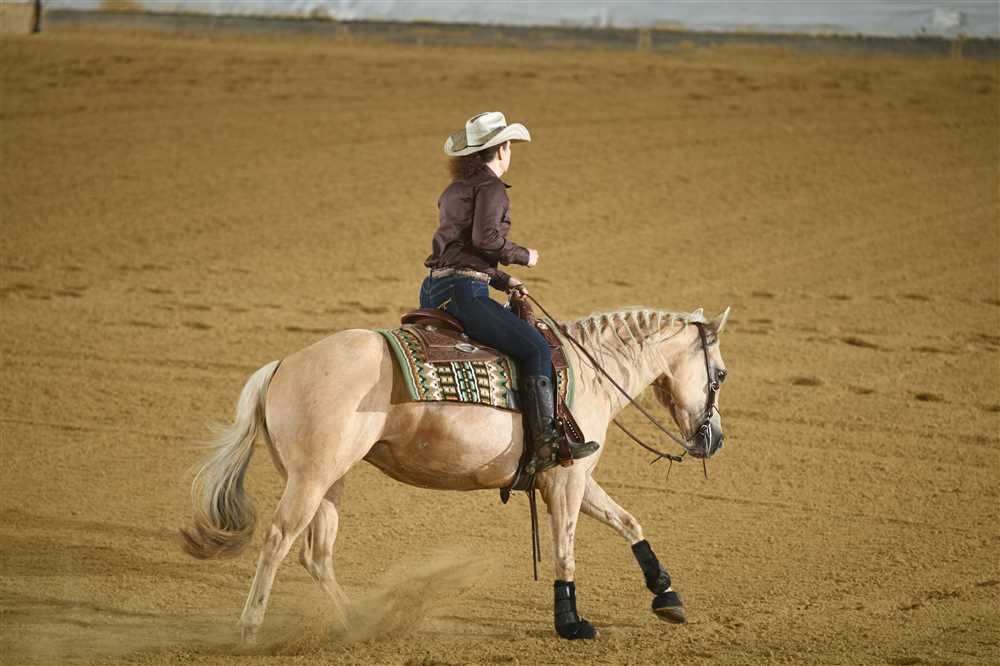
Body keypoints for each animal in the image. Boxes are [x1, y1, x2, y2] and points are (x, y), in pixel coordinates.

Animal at [179, 304, 730, 643]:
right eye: (721, 374)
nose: (715, 440)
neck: (588, 372)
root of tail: (282, 365)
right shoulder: (567, 483)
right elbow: (565, 550)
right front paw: (571, 622)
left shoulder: (567, 476)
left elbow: (629, 521)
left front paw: (666, 594)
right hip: (310, 481)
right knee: (277, 541)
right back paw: (251, 629)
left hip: (329, 482)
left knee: (316, 555)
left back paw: (360, 624)